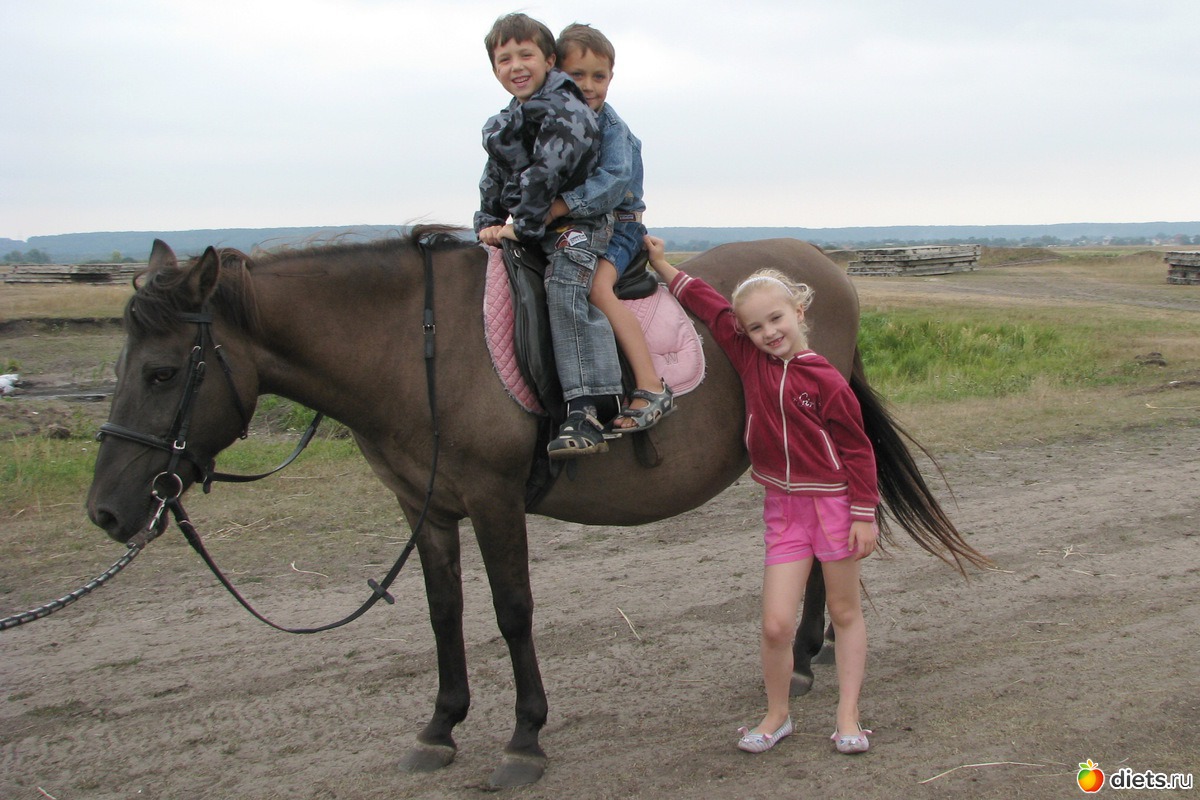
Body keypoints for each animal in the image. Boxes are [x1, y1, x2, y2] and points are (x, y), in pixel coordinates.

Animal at [86, 226, 985, 788]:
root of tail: (818, 269)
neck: (415, 349)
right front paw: (441, 727)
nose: (106, 513)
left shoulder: (493, 502)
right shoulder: (427, 509)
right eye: (122, 366)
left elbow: (512, 612)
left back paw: (801, 656)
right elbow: (444, 613)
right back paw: (808, 651)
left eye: (162, 372)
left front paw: (524, 739)